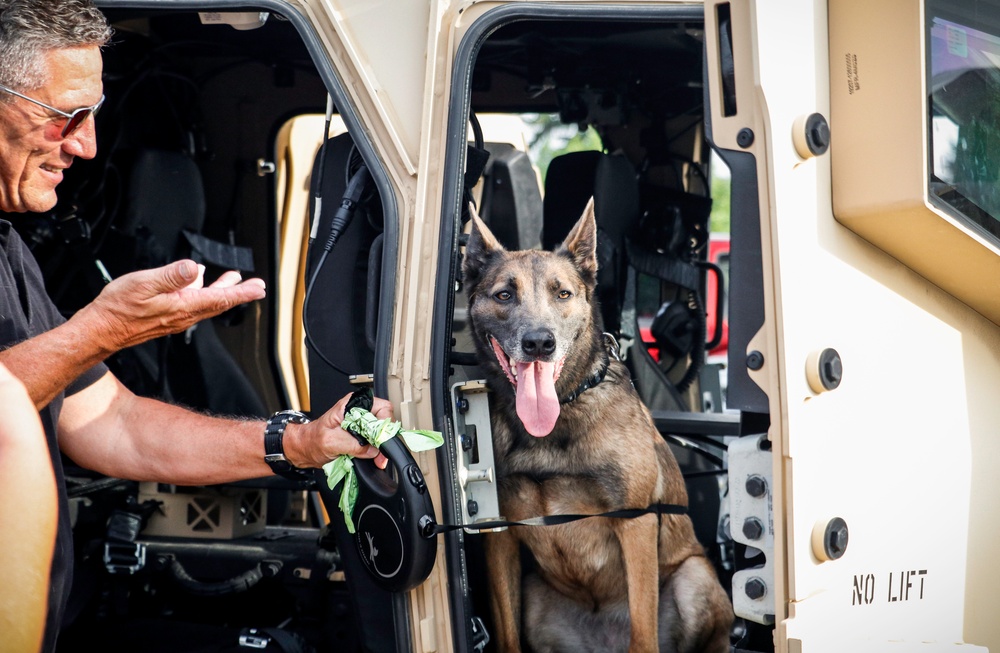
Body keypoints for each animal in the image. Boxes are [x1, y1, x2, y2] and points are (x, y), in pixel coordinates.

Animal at [462, 200, 736, 652]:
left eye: (563, 293)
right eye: (504, 294)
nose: (540, 343)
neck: (560, 414)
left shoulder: (636, 523)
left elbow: (644, 636)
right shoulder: (499, 536)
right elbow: (506, 634)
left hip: (693, 579)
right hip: (535, 596)